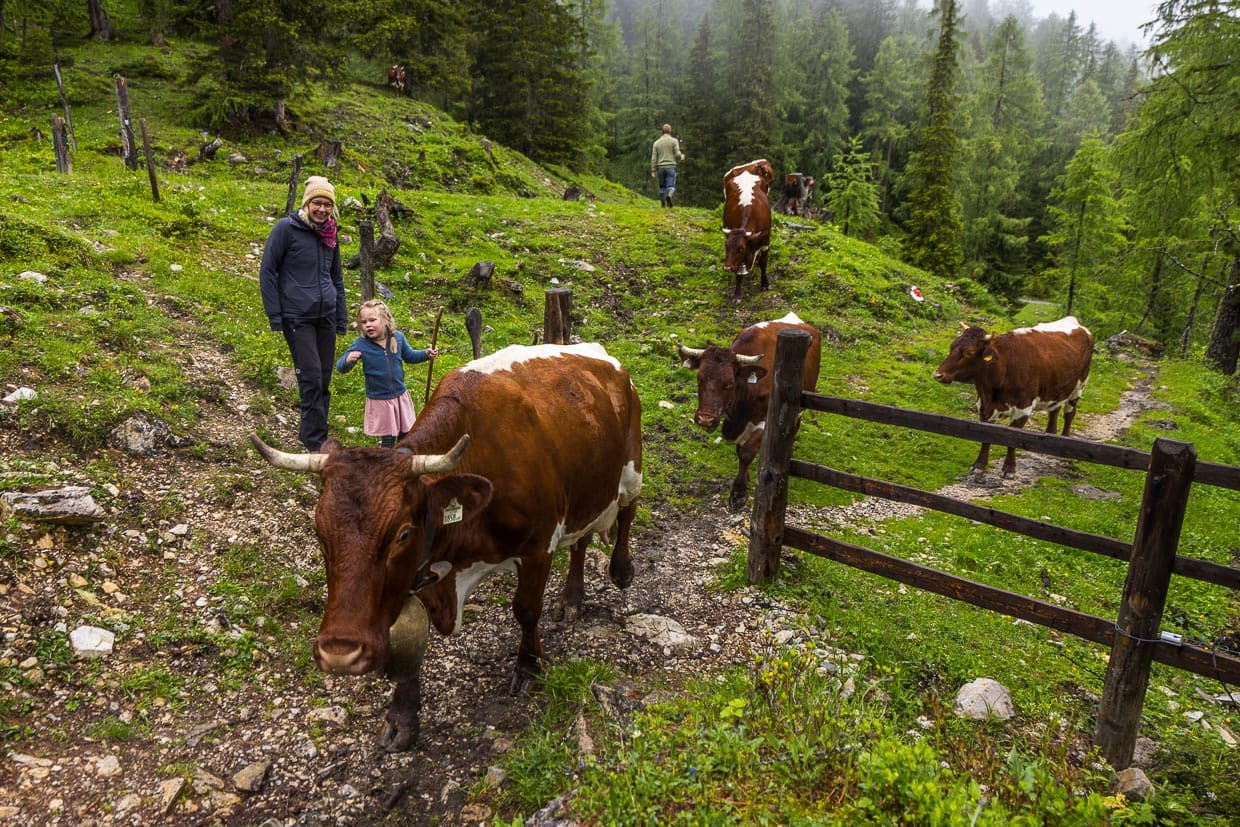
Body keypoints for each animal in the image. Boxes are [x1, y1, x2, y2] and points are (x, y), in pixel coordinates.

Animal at [251, 342, 643, 752]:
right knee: (582, 541)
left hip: (631, 468)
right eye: (319, 530)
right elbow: (409, 638)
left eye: (403, 534)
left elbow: (526, 610)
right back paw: (571, 599)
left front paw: (529, 666)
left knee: (627, 511)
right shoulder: (421, 572)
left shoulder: (538, 546)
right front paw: (403, 714)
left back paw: (621, 570)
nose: (340, 652)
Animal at [679, 312, 822, 511]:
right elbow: (741, 449)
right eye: (699, 378)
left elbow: (746, 452)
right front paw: (744, 478)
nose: (705, 419)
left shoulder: (766, 420)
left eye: (729, 383)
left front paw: (739, 494)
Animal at [722, 159, 775, 302]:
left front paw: (765, 284)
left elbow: (763, 264)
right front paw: (737, 294)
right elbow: (739, 272)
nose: (727, 267)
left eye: (741, 248)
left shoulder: (765, 243)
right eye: (726, 247)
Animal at [933, 316, 1094, 479]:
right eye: (952, 346)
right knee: (1054, 409)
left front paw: (1009, 469)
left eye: (969, 352)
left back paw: (1064, 441)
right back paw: (1050, 436)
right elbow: (986, 437)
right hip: (1057, 387)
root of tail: (1074, 321)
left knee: (1069, 414)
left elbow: (1014, 439)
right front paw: (979, 465)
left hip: (1079, 386)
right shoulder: (983, 406)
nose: (938, 374)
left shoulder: (1023, 409)